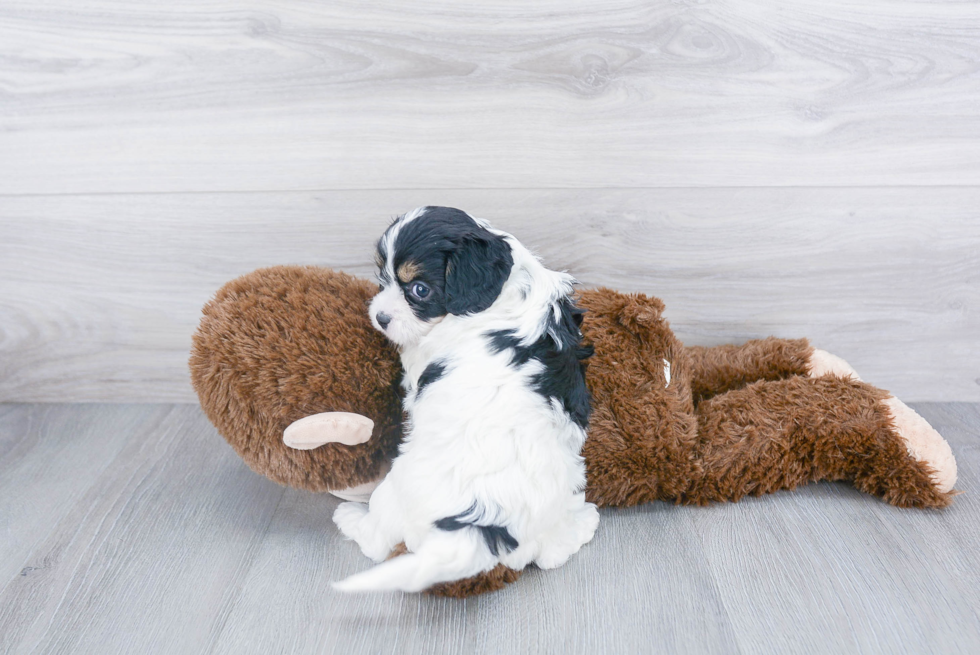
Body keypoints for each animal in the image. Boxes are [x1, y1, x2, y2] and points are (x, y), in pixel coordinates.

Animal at [334, 206, 600, 596]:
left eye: (419, 289)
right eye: (382, 277)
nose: (380, 317)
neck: (501, 297)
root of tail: (479, 525)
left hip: (391, 492)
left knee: (378, 541)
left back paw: (350, 518)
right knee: (552, 554)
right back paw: (584, 523)